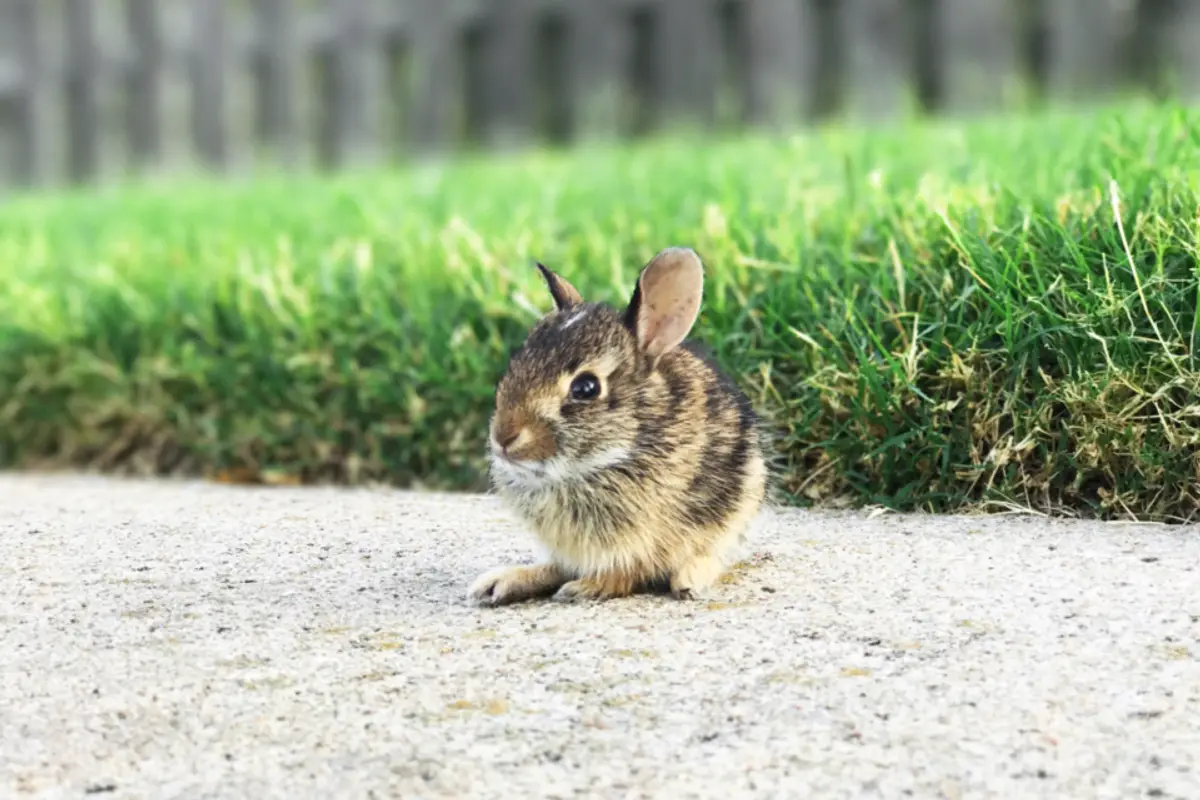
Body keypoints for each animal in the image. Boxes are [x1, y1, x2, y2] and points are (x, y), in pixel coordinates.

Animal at [468, 246, 768, 605]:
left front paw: (586, 588)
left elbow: (625, 573)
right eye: (514, 367)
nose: (503, 438)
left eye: (586, 388)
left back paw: (689, 581)